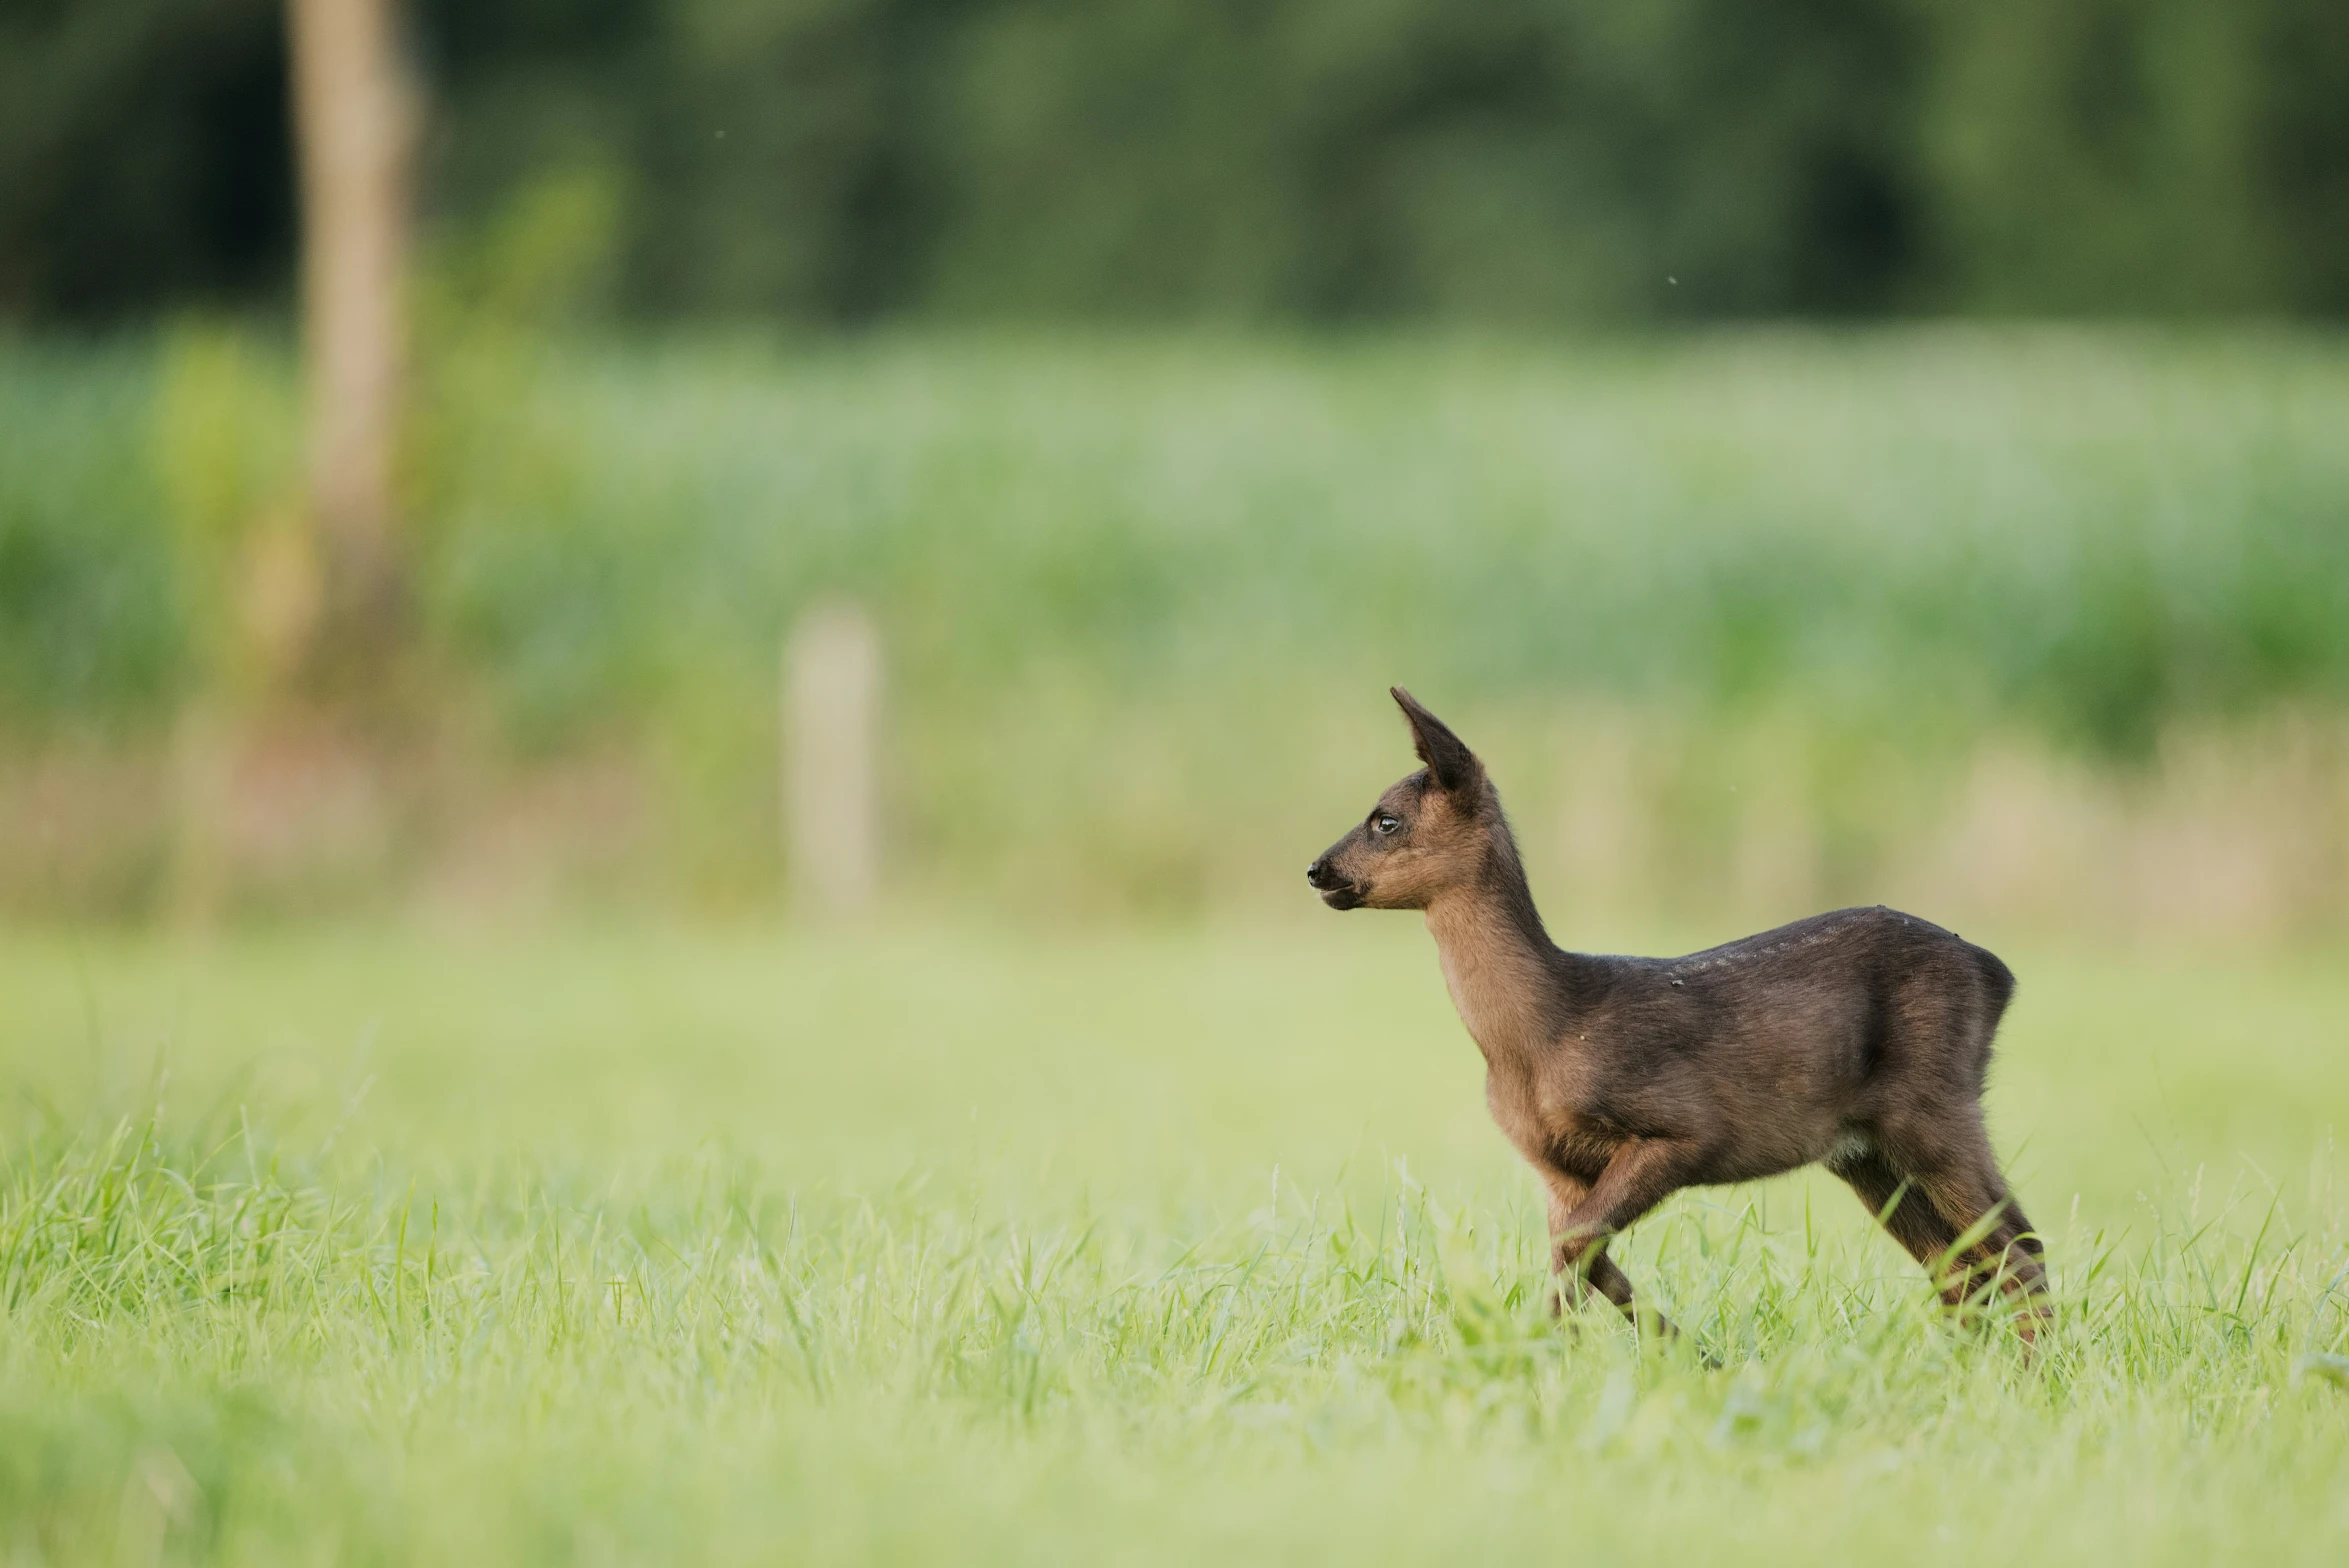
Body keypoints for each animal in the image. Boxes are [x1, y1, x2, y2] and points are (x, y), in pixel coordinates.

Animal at [1315, 690, 2048, 1342]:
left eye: (1385, 820)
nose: (1315, 870)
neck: (1543, 1032)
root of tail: (1997, 972)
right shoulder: (1554, 1168)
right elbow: (1587, 1260)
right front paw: (1670, 1354)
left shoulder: (1685, 1128)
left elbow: (1579, 1252)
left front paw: (1568, 1355)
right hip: (1862, 1149)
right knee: (1960, 1266)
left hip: (1932, 1103)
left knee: (2017, 1249)